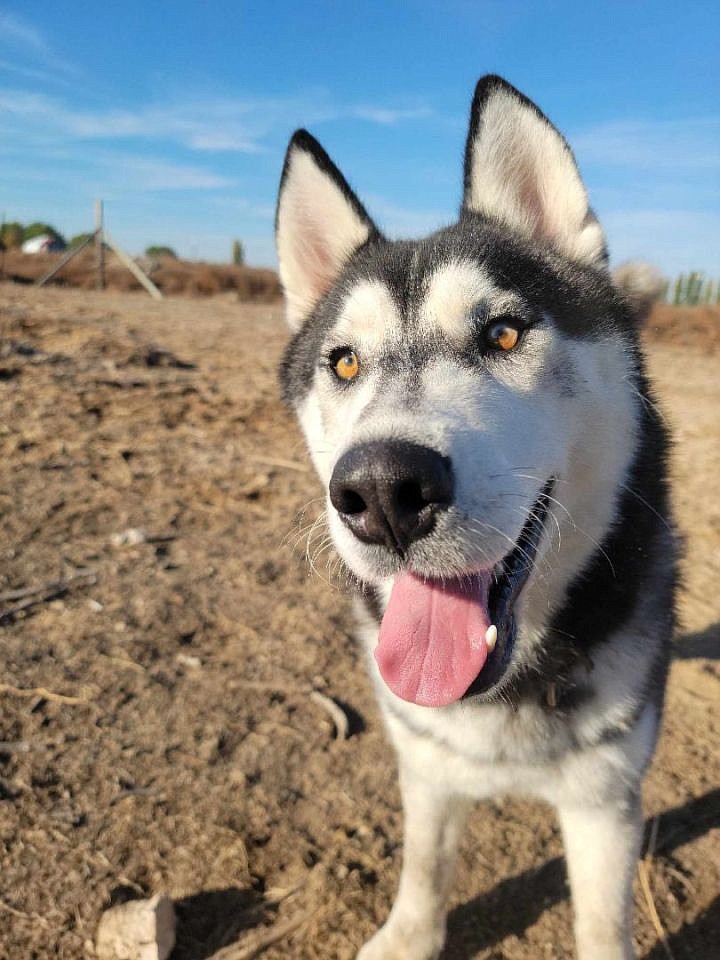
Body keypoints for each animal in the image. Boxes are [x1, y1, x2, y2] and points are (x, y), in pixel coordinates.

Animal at [274, 77, 676, 960]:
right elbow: (425, 867)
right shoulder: (426, 764)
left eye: (504, 332)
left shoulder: (605, 801)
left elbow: (603, 923)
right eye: (343, 362)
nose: (382, 491)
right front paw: (408, 937)